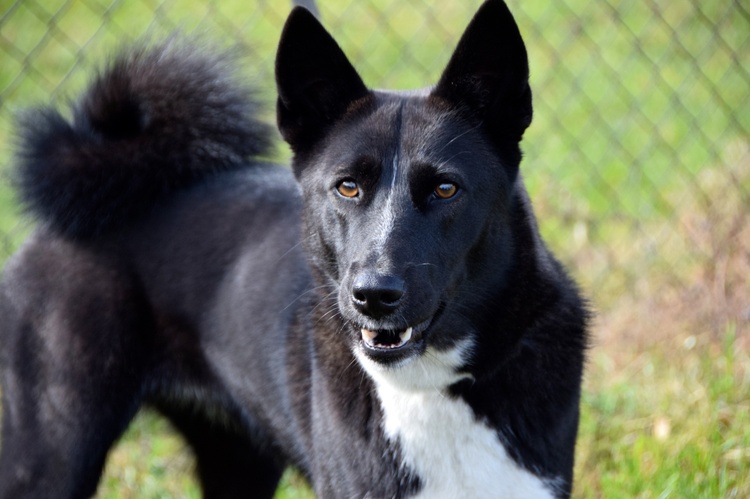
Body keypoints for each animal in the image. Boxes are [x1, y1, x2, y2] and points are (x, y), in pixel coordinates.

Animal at [0, 1, 588, 498]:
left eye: (446, 189)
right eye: (347, 187)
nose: (373, 296)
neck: (430, 386)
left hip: (239, 462)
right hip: (48, 458)